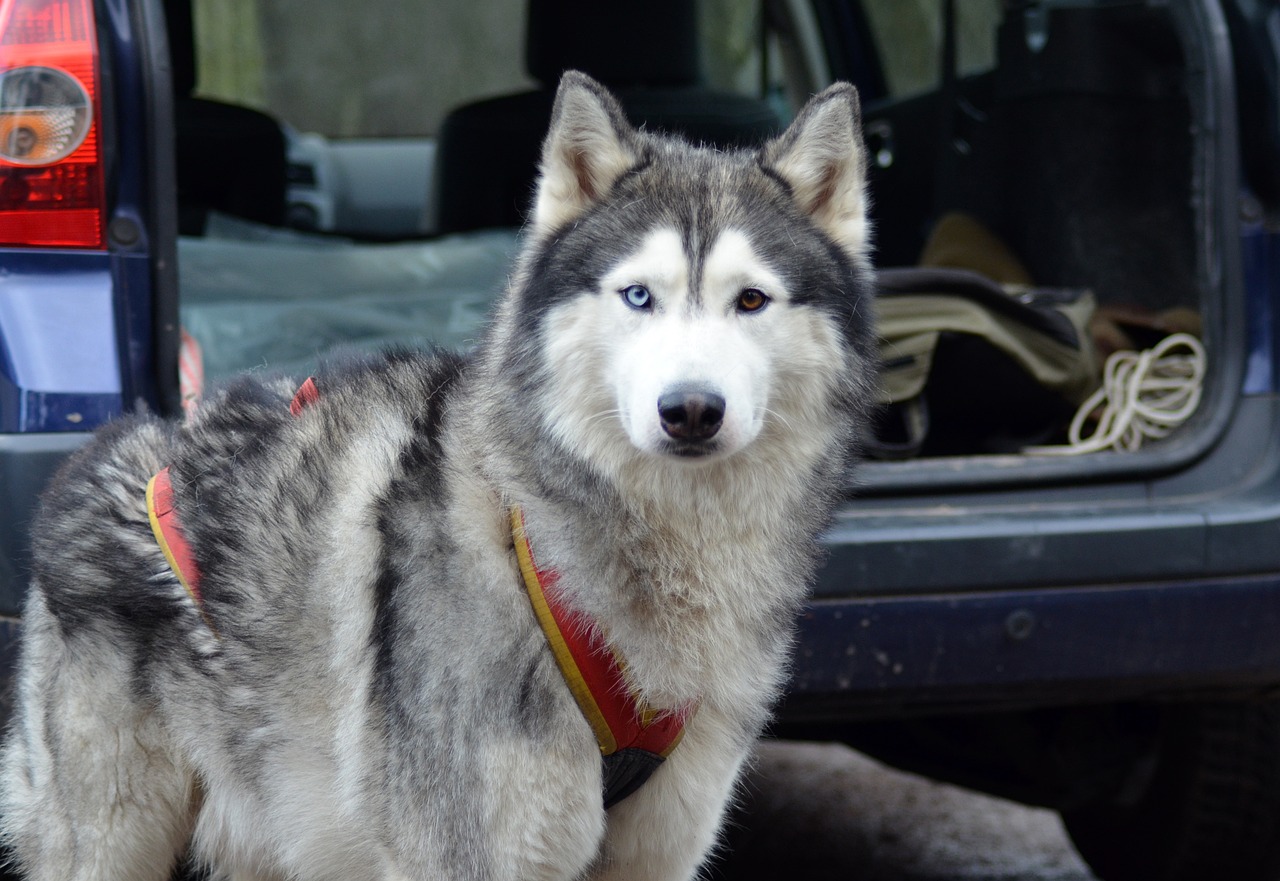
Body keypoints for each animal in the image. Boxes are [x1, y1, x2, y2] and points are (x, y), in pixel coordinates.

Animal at [0, 72, 875, 875]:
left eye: (751, 300)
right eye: (638, 296)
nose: (691, 409)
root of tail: (113, 446)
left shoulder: (656, 853)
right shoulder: (466, 855)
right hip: (115, 842)